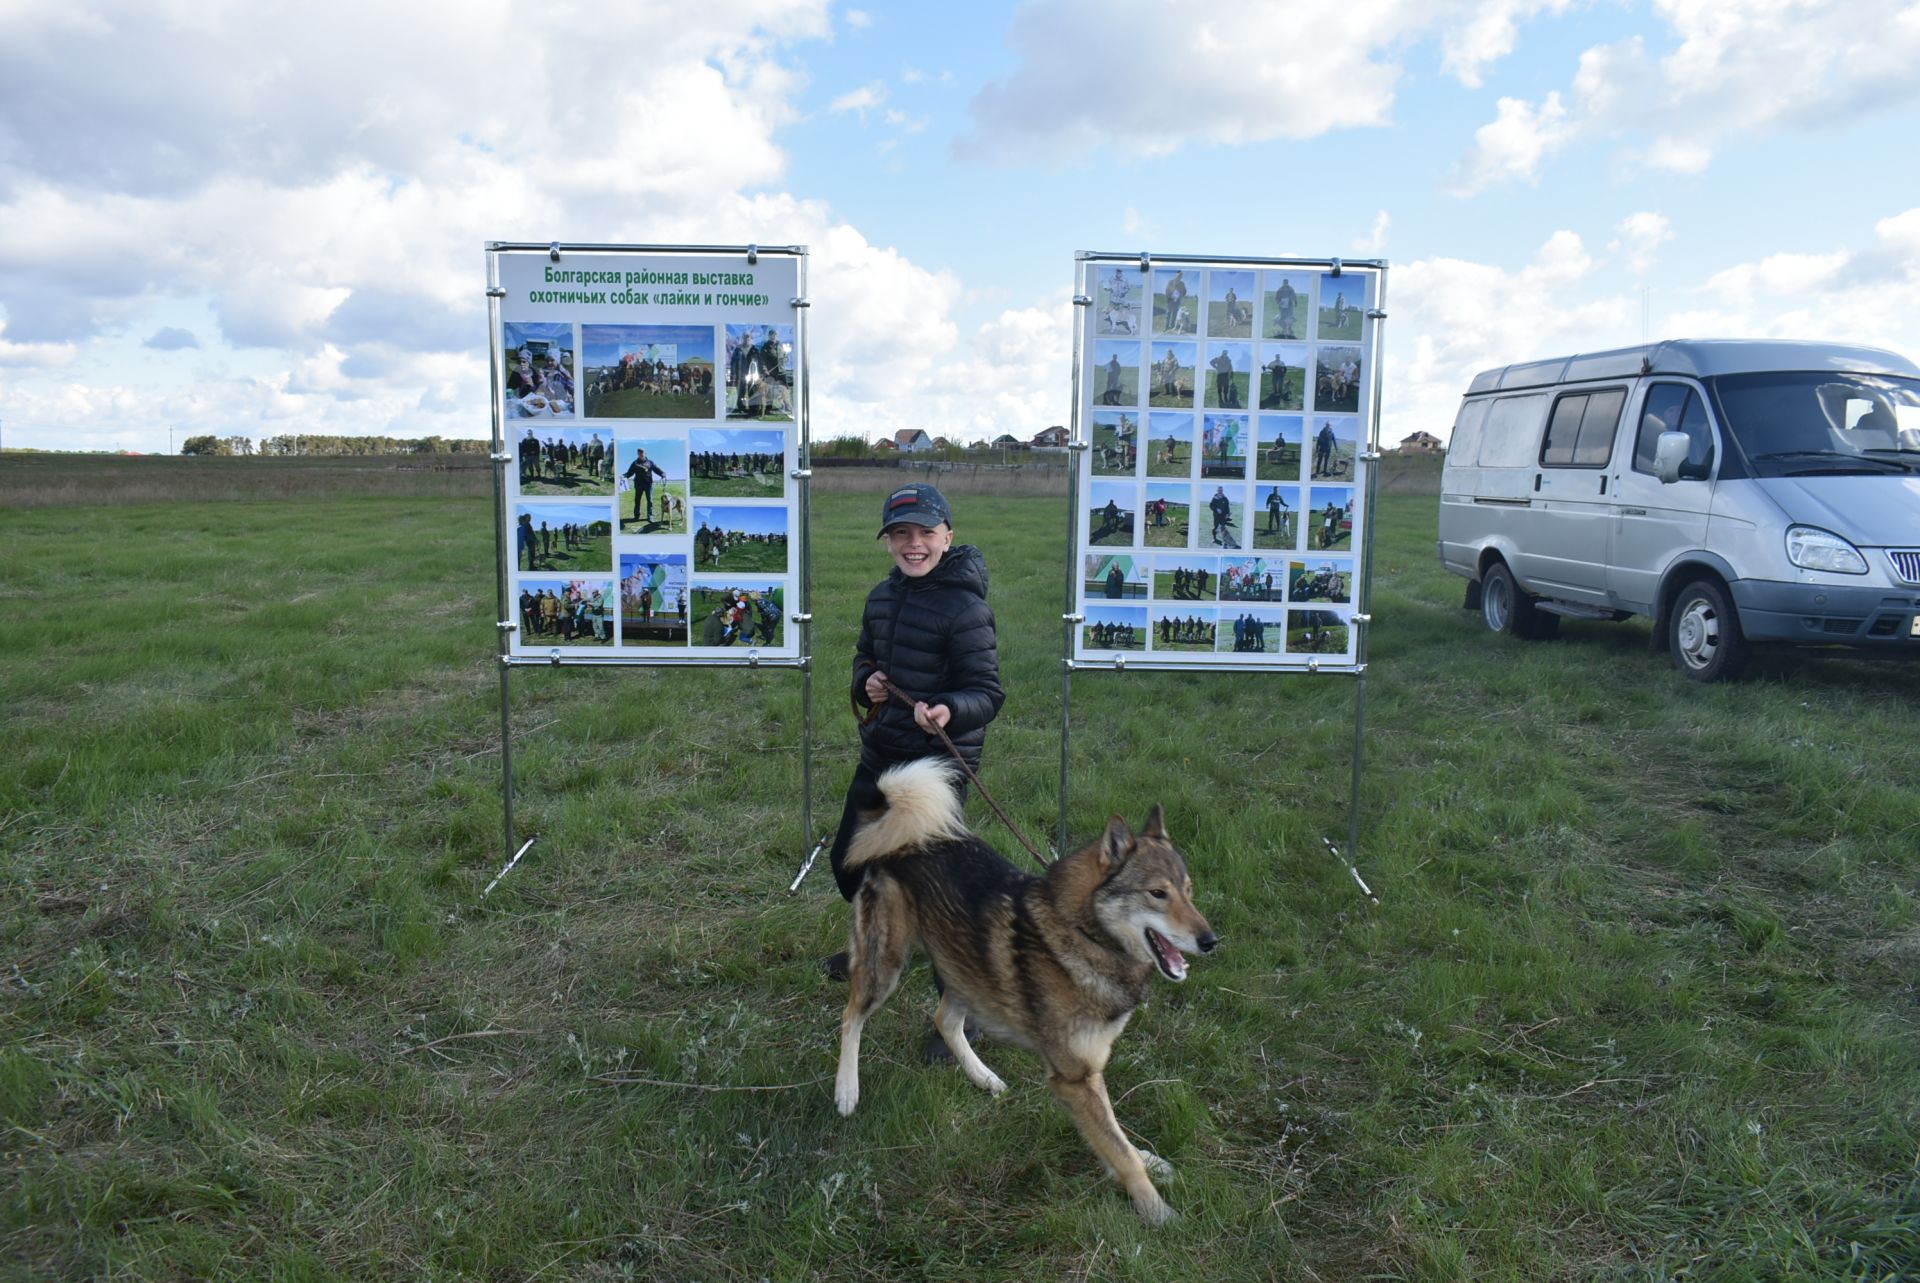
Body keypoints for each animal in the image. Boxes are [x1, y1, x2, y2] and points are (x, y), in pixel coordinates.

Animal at [825, 760, 1213, 1221]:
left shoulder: (1089, 1073)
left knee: (944, 1020)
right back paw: (847, 1090)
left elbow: (1117, 1136)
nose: (1211, 940)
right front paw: (1156, 1211)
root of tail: (900, 835)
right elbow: (1118, 1151)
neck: (1081, 931)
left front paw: (1148, 1163)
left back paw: (983, 1077)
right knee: (851, 1016)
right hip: (886, 964)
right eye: (1157, 894)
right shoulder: (1075, 1079)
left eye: (1188, 892)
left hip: (965, 966)